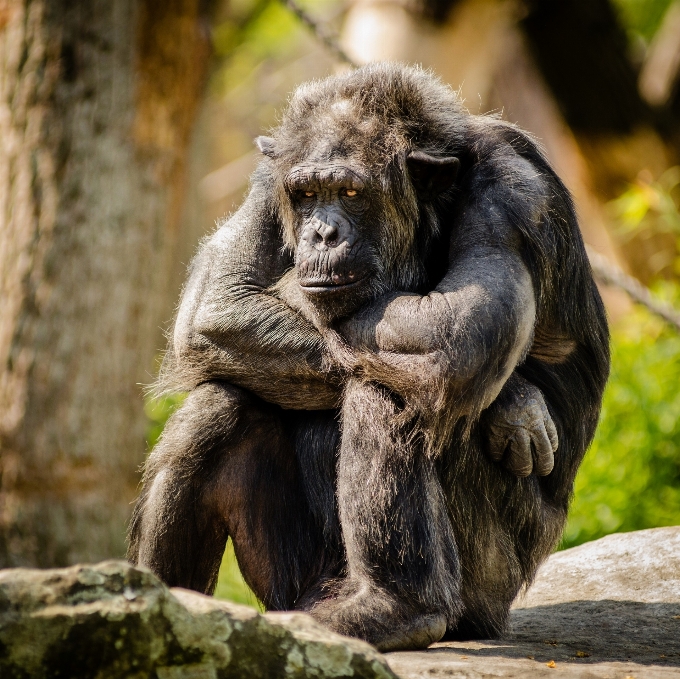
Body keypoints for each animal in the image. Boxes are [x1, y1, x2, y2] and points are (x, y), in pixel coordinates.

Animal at [129, 63, 612, 652]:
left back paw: (397, 608)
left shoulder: (515, 193)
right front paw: (516, 403)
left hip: (489, 581)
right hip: (294, 584)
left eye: (352, 191)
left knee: (395, 385)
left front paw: (514, 402)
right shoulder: (270, 179)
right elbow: (217, 301)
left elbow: (456, 330)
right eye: (307, 193)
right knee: (217, 407)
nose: (322, 232)